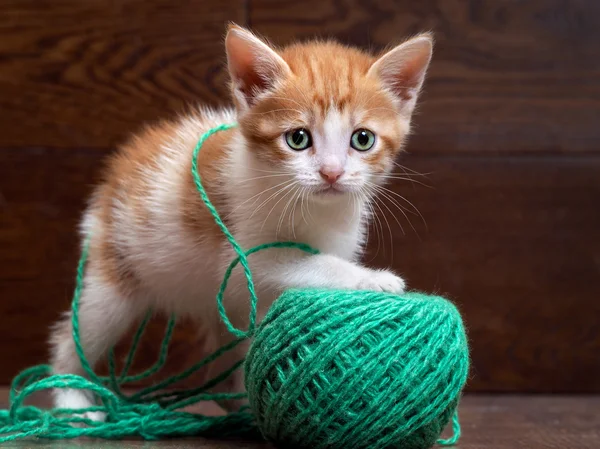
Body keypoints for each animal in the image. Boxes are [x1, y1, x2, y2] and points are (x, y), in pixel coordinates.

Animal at [48, 24, 432, 416]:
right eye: (297, 138)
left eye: (363, 139)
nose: (331, 173)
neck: (314, 207)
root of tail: (113, 177)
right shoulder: (240, 257)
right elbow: (309, 262)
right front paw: (375, 279)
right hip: (113, 277)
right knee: (75, 333)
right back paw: (71, 398)